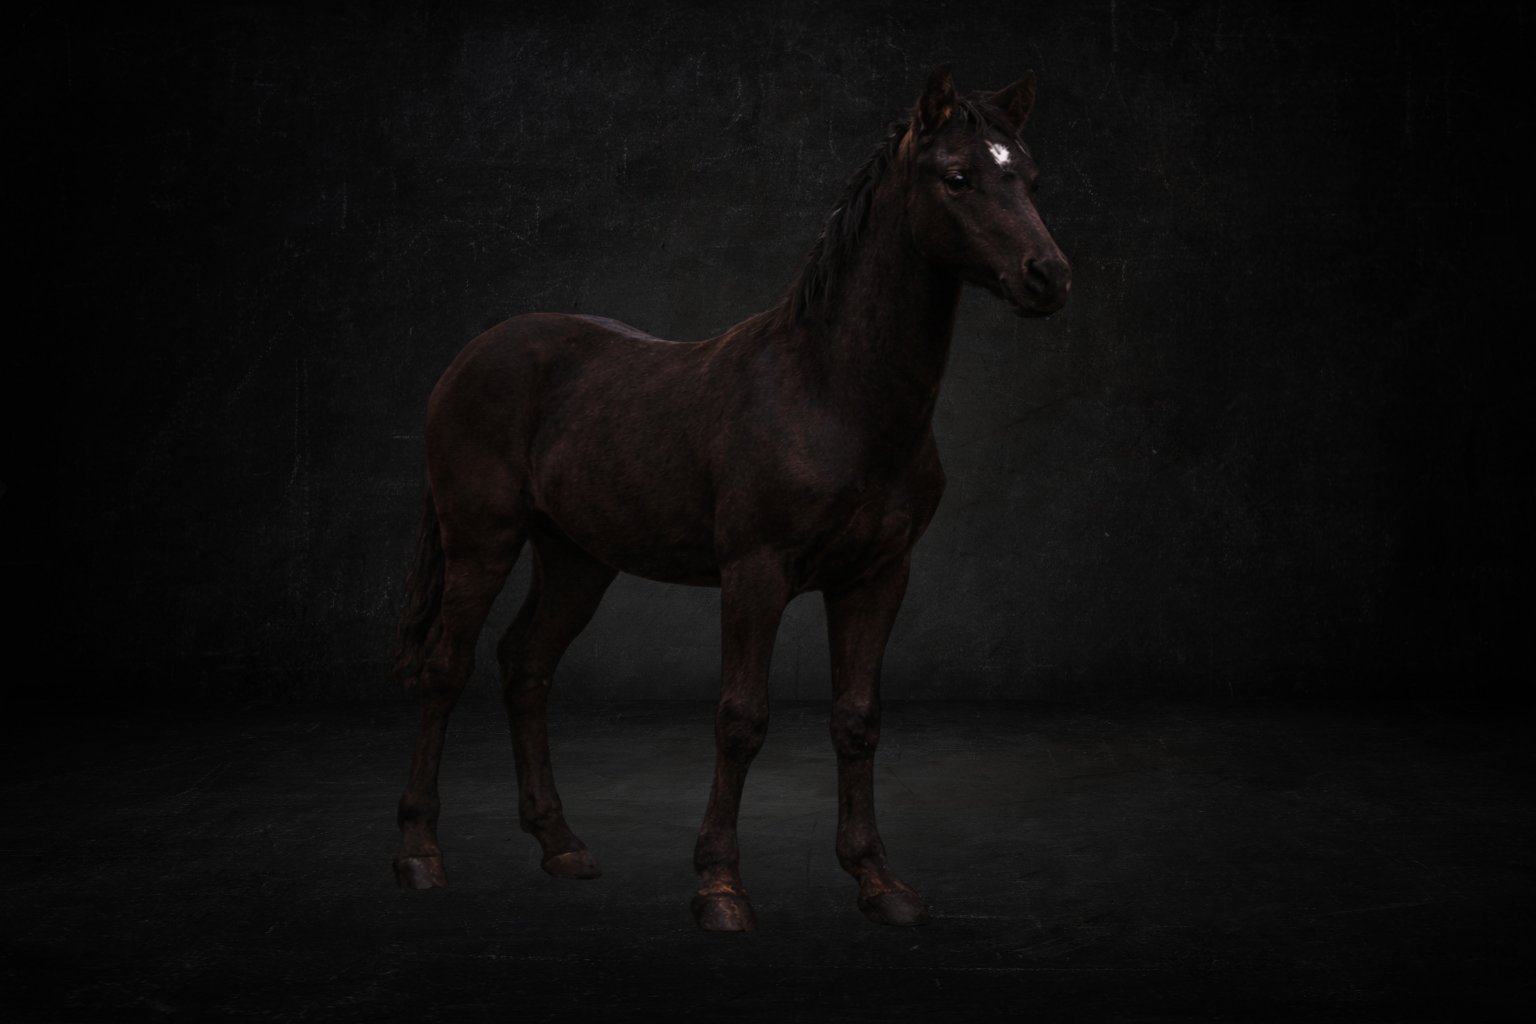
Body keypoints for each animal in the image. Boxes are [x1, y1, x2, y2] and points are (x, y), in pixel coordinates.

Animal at [389, 63, 1071, 932]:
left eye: (1032, 178)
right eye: (958, 177)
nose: (1048, 277)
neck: (831, 394)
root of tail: (472, 354)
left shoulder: (877, 577)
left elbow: (858, 720)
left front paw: (880, 882)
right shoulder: (755, 573)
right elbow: (741, 719)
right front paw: (719, 889)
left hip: (576, 557)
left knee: (526, 665)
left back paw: (562, 846)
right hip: (481, 539)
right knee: (447, 668)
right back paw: (419, 854)